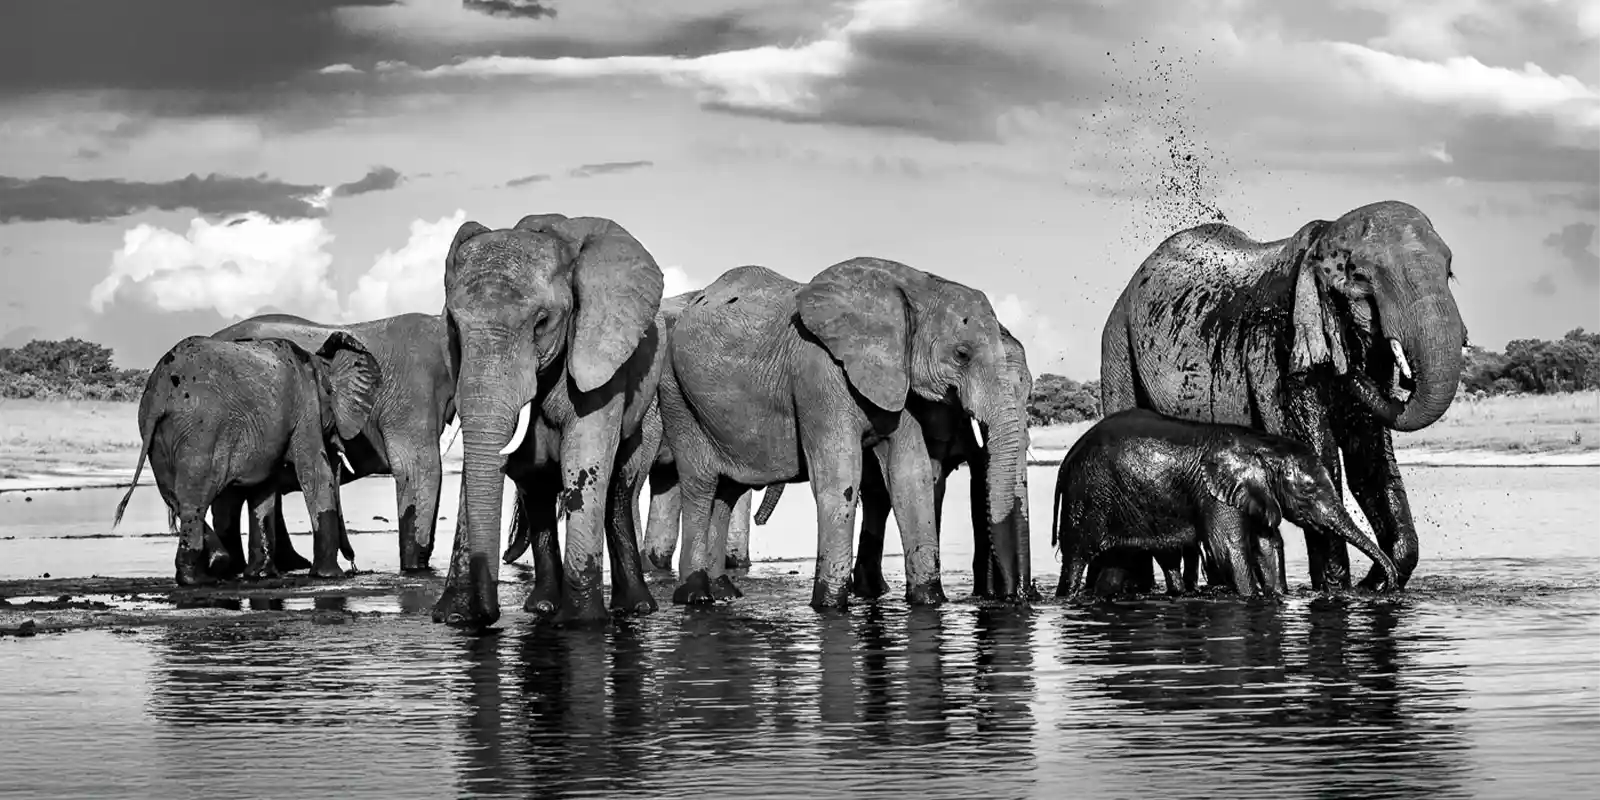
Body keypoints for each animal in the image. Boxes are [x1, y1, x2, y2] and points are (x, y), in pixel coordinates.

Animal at [112, 333, 379, 585]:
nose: (353, 563)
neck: (318, 362)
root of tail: (161, 387)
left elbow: (265, 489)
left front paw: (260, 575)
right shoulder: (306, 409)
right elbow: (315, 472)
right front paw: (329, 576)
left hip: (156, 433)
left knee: (173, 495)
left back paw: (216, 564)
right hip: (202, 428)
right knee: (194, 496)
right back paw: (201, 577)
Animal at [431, 213, 665, 630]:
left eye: (541, 323)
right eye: (454, 326)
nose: (489, 616)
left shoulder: (596, 352)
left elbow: (585, 457)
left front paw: (581, 623)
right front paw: (453, 617)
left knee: (620, 487)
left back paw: (636, 608)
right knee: (536, 485)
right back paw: (541, 606)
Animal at [656, 258, 1029, 610]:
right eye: (962, 355)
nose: (1012, 599)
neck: (914, 283)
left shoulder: (898, 381)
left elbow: (911, 476)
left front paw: (929, 600)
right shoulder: (819, 373)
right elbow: (840, 479)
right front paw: (830, 606)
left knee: (728, 489)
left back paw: (724, 592)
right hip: (675, 392)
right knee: (701, 483)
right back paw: (695, 596)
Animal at [1050, 408, 1401, 600]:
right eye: (1308, 493)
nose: (1387, 587)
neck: (1263, 447)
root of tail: (1066, 458)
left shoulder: (1253, 493)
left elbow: (1267, 546)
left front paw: (1277, 595)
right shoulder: (1215, 494)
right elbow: (1228, 549)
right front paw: (1251, 597)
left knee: (1118, 565)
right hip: (1087, 498)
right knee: (1076, 559)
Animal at [1099, 200, 1465, 593]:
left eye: (1450, 271)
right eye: (1362, 276)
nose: (1350, 371)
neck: (1320, 242)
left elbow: (1368, 459)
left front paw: (1377, 586)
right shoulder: (1275, 349)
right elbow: (1320, 454)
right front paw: (1337, 591)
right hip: (1118, 345)